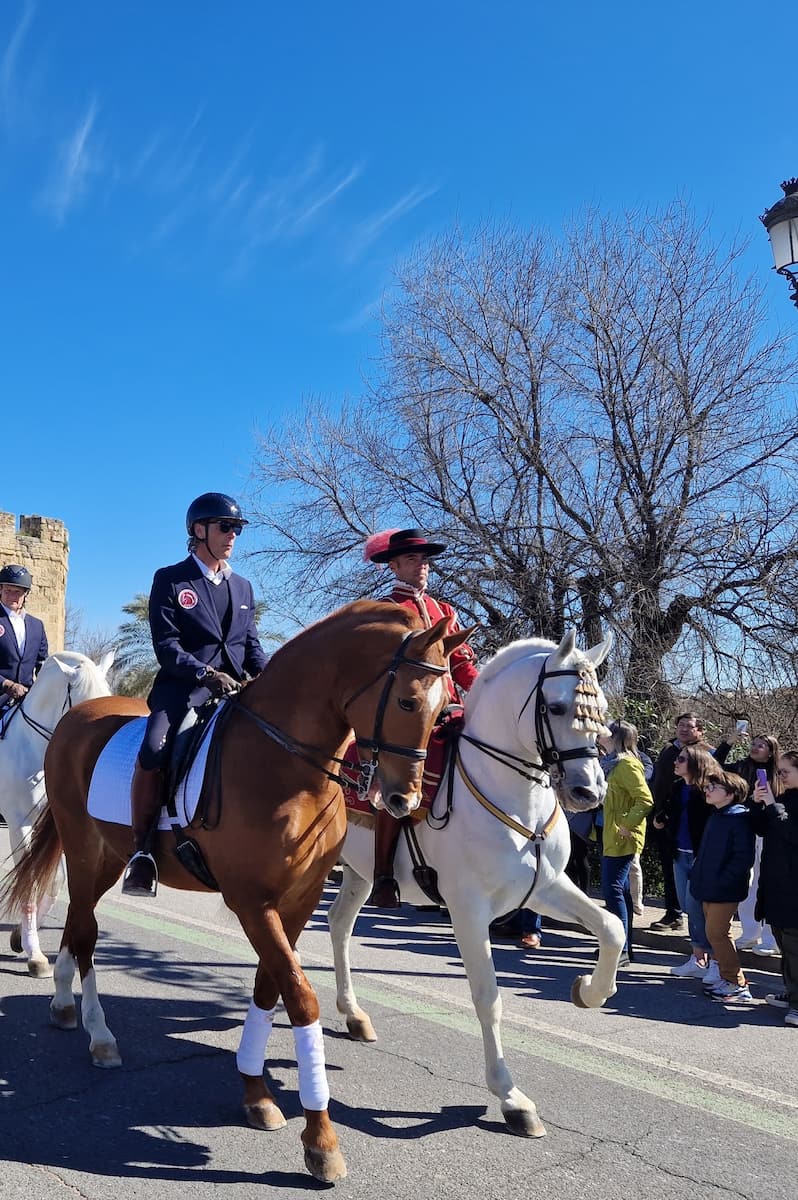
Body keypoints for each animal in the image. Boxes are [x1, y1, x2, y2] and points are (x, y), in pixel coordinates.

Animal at [0, 648, 113, 974]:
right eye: (87, 708)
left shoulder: (63, 826)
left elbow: (55, 883)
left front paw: (19, 937)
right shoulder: (19, 825)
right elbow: (30, 882)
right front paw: (35, 955)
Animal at [326, 633, 624, 1137]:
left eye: (600, 708)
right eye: (558, 707)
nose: (589, 792)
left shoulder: (544, 889)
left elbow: (611, 927)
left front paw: (590, 990)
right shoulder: (467, 910)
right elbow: (489, 998)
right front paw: (511, 1097)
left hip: (359, 873)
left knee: (339, 925)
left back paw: (353, 1013)